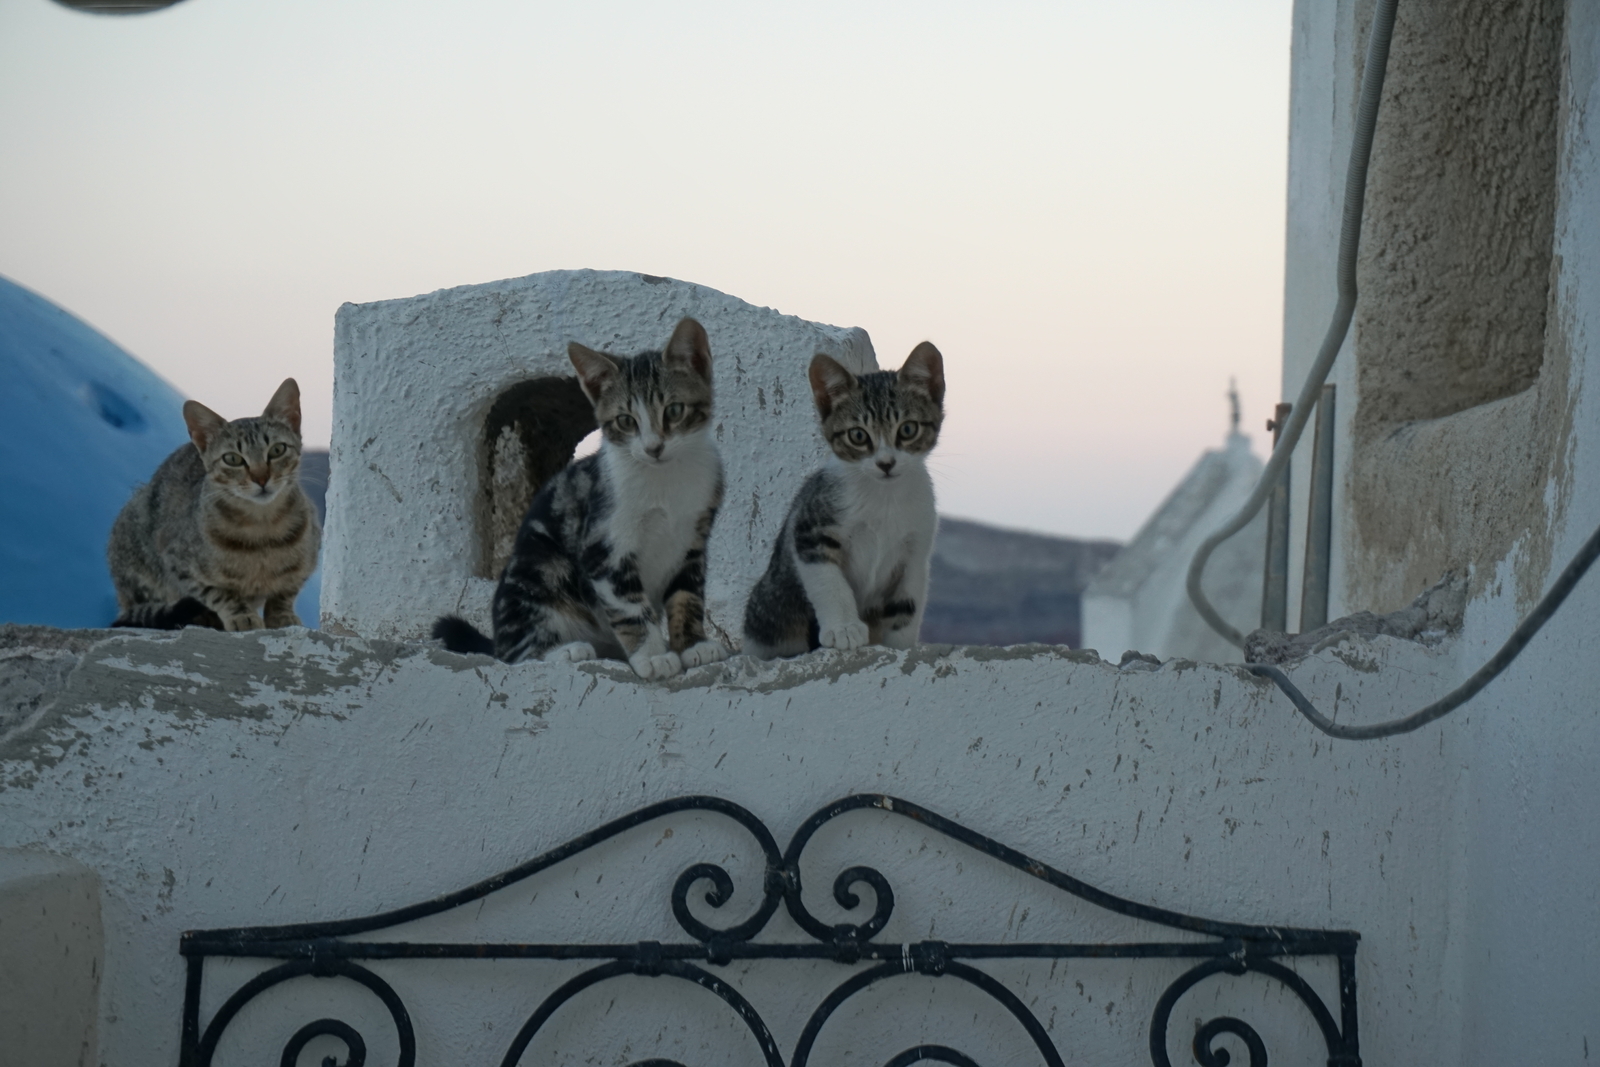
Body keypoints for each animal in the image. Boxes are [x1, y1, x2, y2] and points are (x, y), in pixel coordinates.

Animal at [109, 377, 321, 630]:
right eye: (233, 459)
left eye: (277, 450)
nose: (261, 478)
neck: (263, 530)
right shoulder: (179, 564)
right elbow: (220, 594)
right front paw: (242, 615)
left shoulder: (309, 557)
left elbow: (285, 591)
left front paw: (282, 616)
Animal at [428, 319, 723, 684]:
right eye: (626, 420)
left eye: (675, 410)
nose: (654, 448)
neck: (665, 480)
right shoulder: (603, 545)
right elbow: (630, 606)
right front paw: (654, 656)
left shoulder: (694, 540)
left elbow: (688, 595)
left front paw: (693, 645)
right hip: (538, 569)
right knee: (513, 655)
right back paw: (563, 650)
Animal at [742, 342, 940, 659]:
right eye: (858, 435)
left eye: (908, 429)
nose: (886, 463)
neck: (883, 497)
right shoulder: (810, 528)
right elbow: (829, 581)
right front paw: (844, 628)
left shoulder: (916, 551)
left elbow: (906, 606)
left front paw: (899, 648)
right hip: (771, 605)